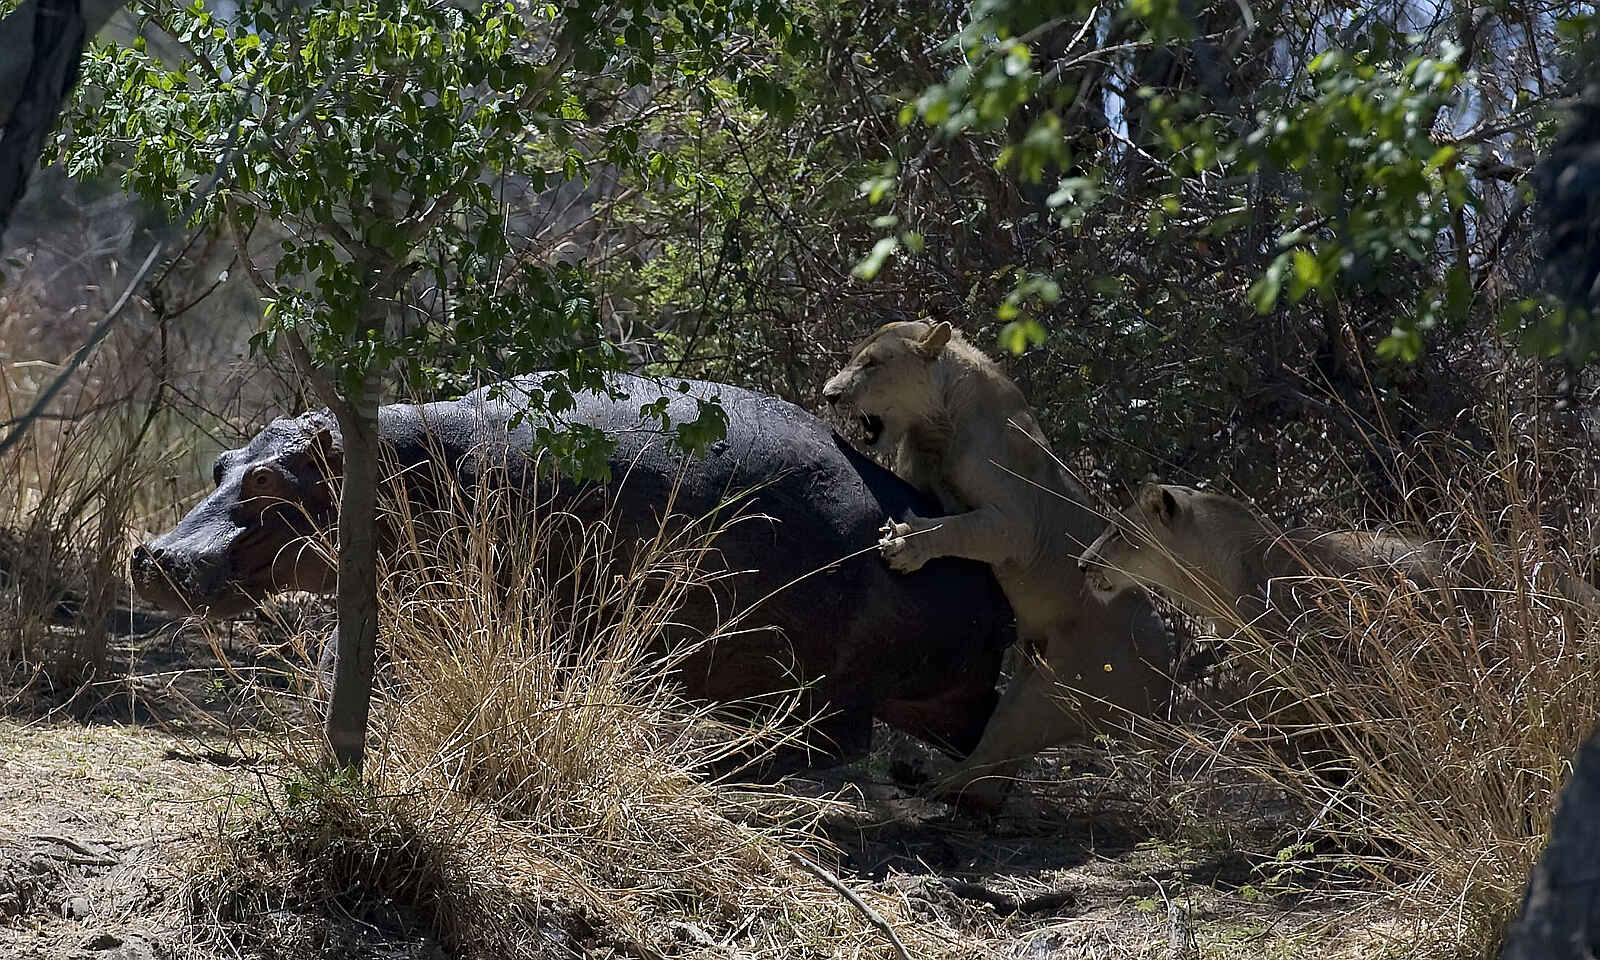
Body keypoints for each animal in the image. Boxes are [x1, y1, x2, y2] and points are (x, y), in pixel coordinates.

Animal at [822, 320, 1174, 804]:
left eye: (872, 363)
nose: (829, 395)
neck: (936, 425)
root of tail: (1166, 674)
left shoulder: (1018, 525)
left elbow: (956, 527)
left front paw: (906, 543)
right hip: (1030, 676)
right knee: (996, 770)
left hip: (1050, 692)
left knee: (989, 759)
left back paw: (930, 779)